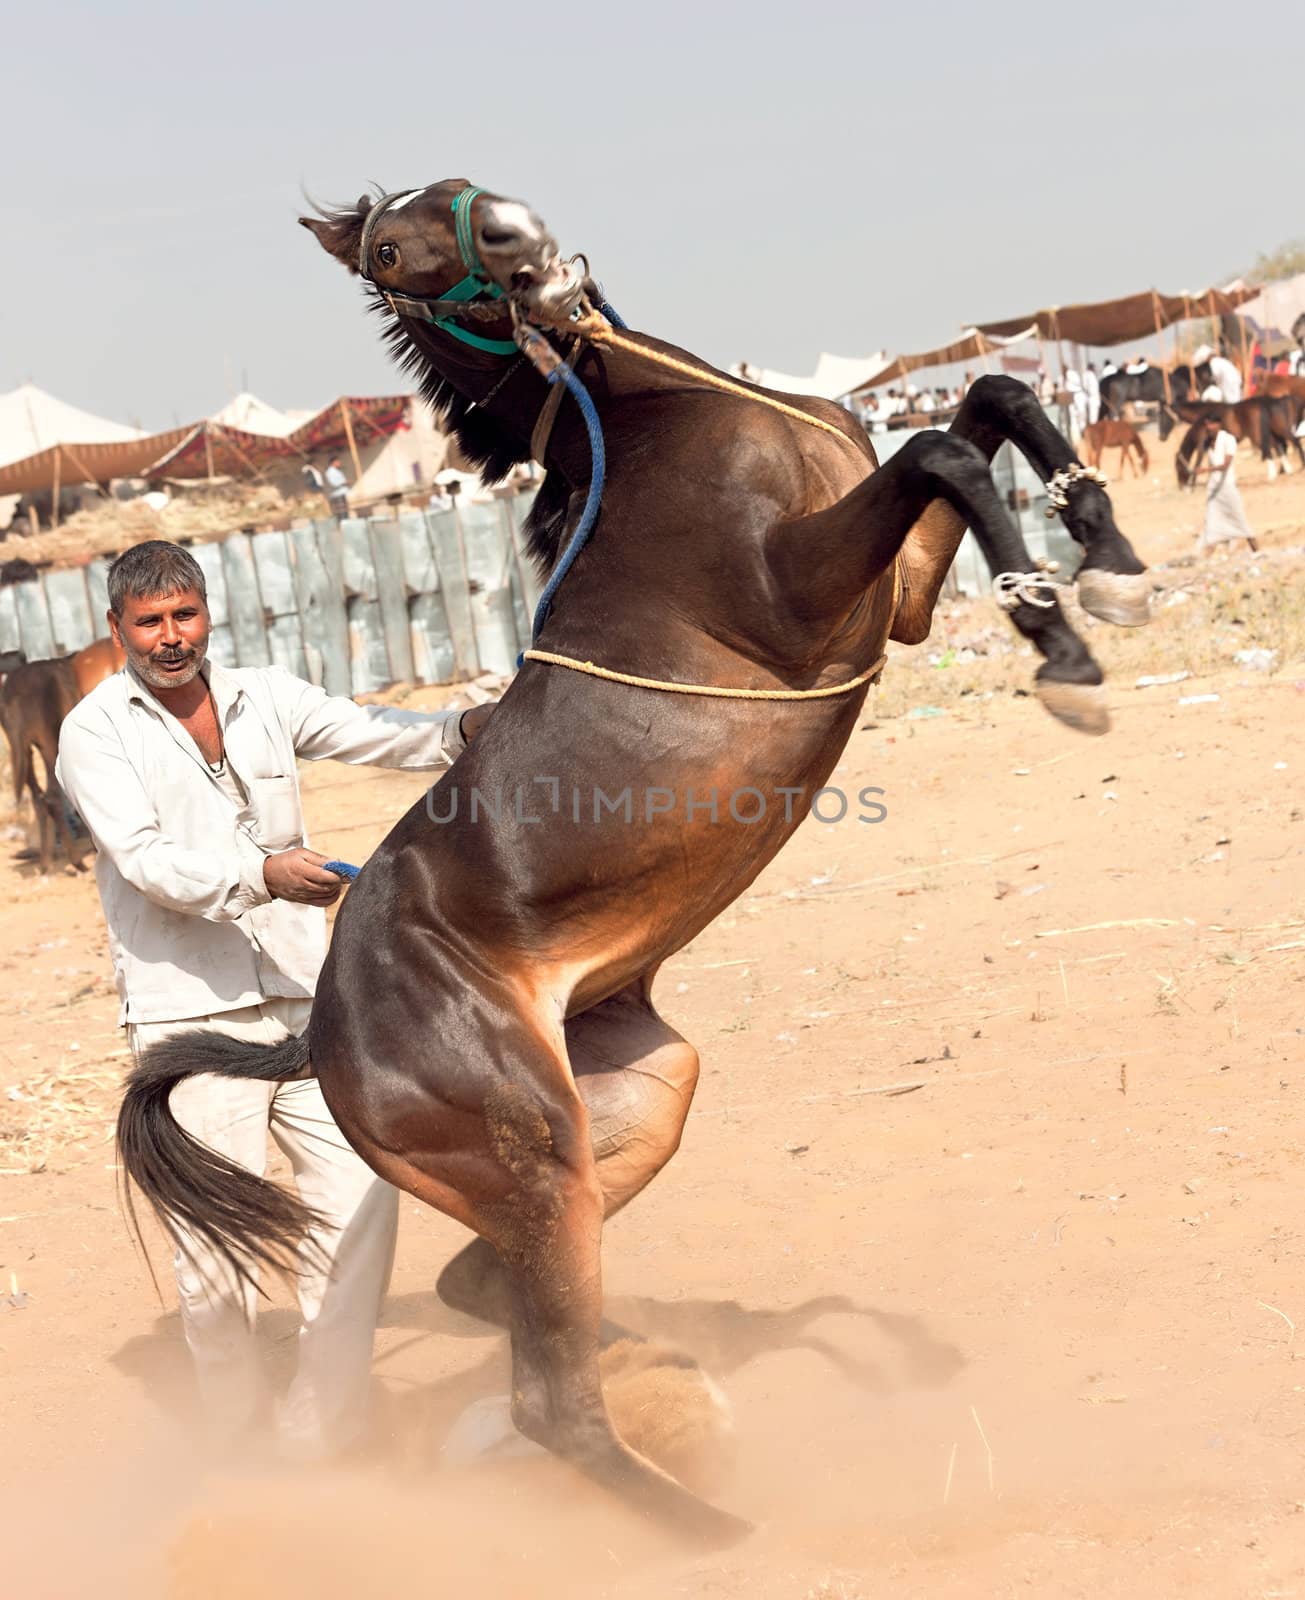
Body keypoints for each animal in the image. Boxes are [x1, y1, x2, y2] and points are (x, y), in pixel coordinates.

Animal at [114, 175, 1151, 1536]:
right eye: (390, 248)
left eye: (450, 182)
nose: (515, 235)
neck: (668, 417)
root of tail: (321, 1029)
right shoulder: (799, 600)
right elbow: (942, 449)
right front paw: (1065, 649)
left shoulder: (899, 598)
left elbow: (987, 406)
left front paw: (1109, 556)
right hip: (532, 1152)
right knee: (548, 1400)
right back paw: (713, 1526)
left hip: (635, 1103)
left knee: (492, 1296)